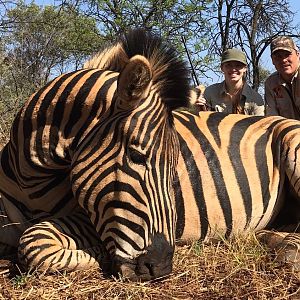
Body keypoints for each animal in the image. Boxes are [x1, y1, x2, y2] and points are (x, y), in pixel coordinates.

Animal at [0, 29, 190, 280]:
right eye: (137, 156)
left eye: (175, 170)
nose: (161, 268)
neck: (29, 181)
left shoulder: (87, 217)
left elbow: (36, 242)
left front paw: (99, 253)